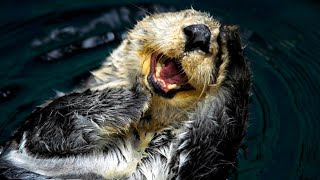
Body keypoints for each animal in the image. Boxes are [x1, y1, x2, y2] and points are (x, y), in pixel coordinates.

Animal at [0, 9, 250, 179]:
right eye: (185, 15)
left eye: (216, 47)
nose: (200, 33)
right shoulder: (27, 139)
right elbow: (52, 122)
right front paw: (133, 97)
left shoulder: (185, 167)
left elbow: (214, 134)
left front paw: (232, 46)